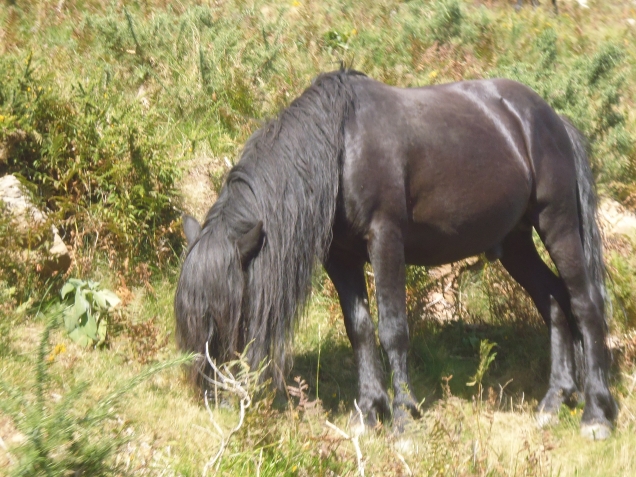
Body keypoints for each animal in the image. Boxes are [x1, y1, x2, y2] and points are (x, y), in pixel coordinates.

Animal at [175, 69, 616, 438]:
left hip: (556, 222)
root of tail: (552, 120)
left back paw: (596, 414)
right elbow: (360, 330)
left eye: (225, 315)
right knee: (554, 301)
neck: (342, 149)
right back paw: (554, 400)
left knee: (585, 304)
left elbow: (393, 329)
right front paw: (369, 411)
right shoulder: (341, 258)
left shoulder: (385, 239)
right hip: (515, 242)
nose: (210, 397)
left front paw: (403, 415)